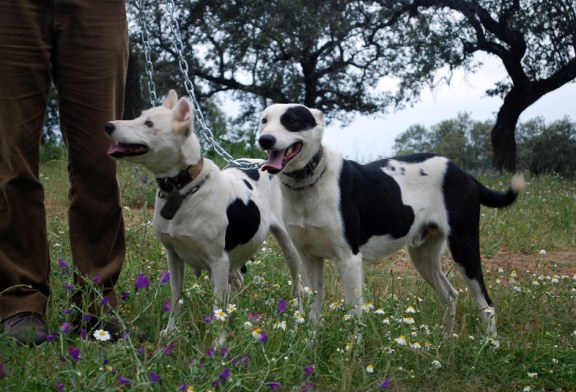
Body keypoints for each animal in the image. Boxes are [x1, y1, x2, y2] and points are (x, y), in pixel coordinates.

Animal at [104, 92, 302, 334]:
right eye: (139, 117)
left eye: (148, 124)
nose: (109, 125)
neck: (184, 188)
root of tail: (263, 163)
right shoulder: (174, 256)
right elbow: (176, 296)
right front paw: (171, 331)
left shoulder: (219, 261)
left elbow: (217, 309)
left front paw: (218, 342)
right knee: (236, 282)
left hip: (288, 247)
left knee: (297, 283)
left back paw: (298, 316)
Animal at [258, 103, 524, 344]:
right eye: (263, 120)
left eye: (292, 121)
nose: (265, 140)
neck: (308, 182)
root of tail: (462, 173)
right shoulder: (310, 260)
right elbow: (314, 312)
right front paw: (309, 347)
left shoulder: (349, 259)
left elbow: (353, 312)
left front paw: (351, 353)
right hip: (423, 255)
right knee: (450, 294)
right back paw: (445, 342)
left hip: (463, 247)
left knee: (486, 302)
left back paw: (490, 345)